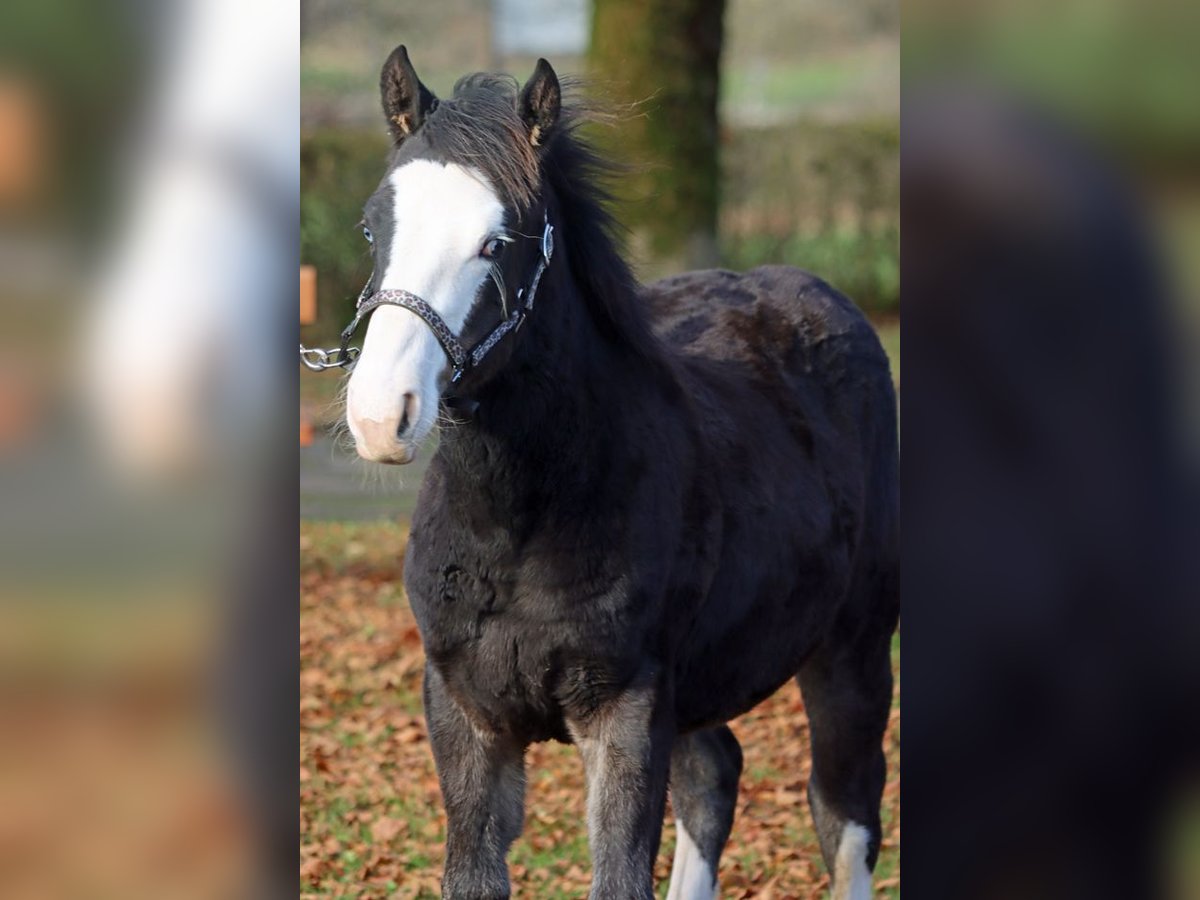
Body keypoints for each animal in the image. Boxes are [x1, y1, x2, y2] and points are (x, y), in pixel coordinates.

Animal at [340, 47, 899, 900]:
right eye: (375, 225)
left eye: (496, 242)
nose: (379, 415)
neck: (520, 526)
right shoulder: (465, 715)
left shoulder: (627, 711)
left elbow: (620, 874)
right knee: (714, 778)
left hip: (855, 648)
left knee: (846, 813)